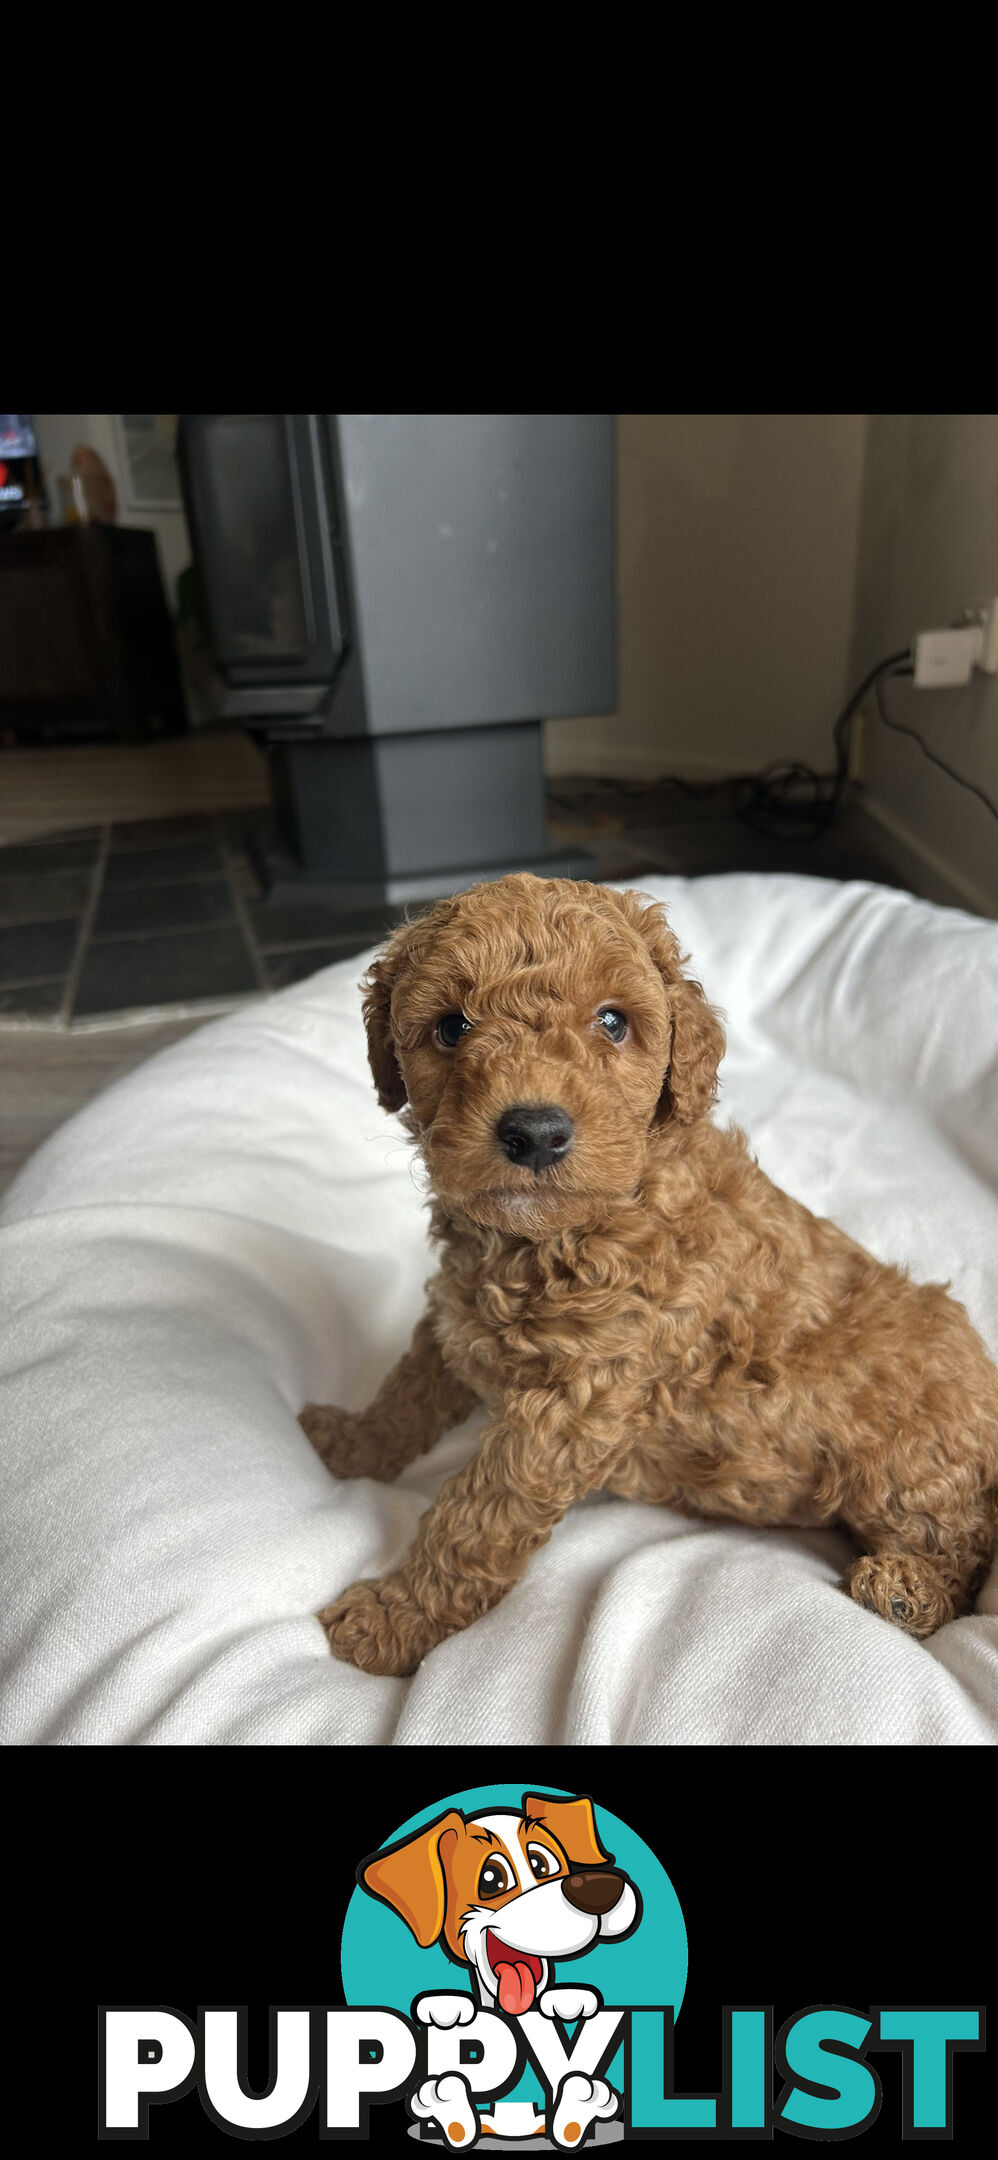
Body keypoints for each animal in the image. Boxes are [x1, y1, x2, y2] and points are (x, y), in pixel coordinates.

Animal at [302, 868, 998, 1676]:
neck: (549, 1240)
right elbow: (407, 1391)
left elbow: (473, 1520)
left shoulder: (570, 1407)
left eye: (612, 1022)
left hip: (910, 1462)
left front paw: (392, 1618)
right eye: (450, 1027)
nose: (534, 1131)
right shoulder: (456, 1318)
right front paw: (352, 1442)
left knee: (965, 1549)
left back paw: (905, 1592)